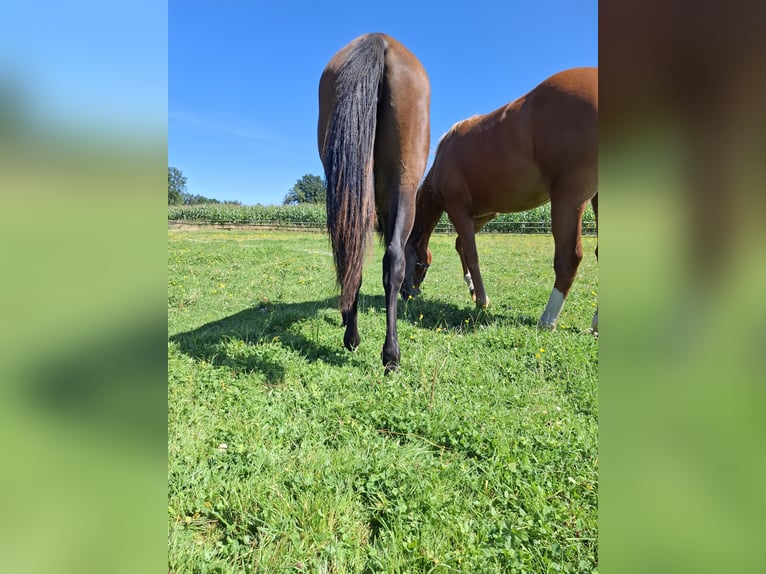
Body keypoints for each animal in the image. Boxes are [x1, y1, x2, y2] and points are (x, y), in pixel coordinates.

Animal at [318, 32, 432, 374]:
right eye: (422, 264)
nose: (413, 293)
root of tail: (379, 40)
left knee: (348, 250)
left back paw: (353, 336)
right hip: (405, 182)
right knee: (392, 259)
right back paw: (389, 354)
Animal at [404, 66, 596, 332]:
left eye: (410, 259)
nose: (405, 292)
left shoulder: (458, 210)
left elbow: (471, 253)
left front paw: (482, 299)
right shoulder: (482, 215)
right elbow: (461, 246)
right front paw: (472, 289)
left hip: (568, 199)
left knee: (568, 257)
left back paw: (547, 319)